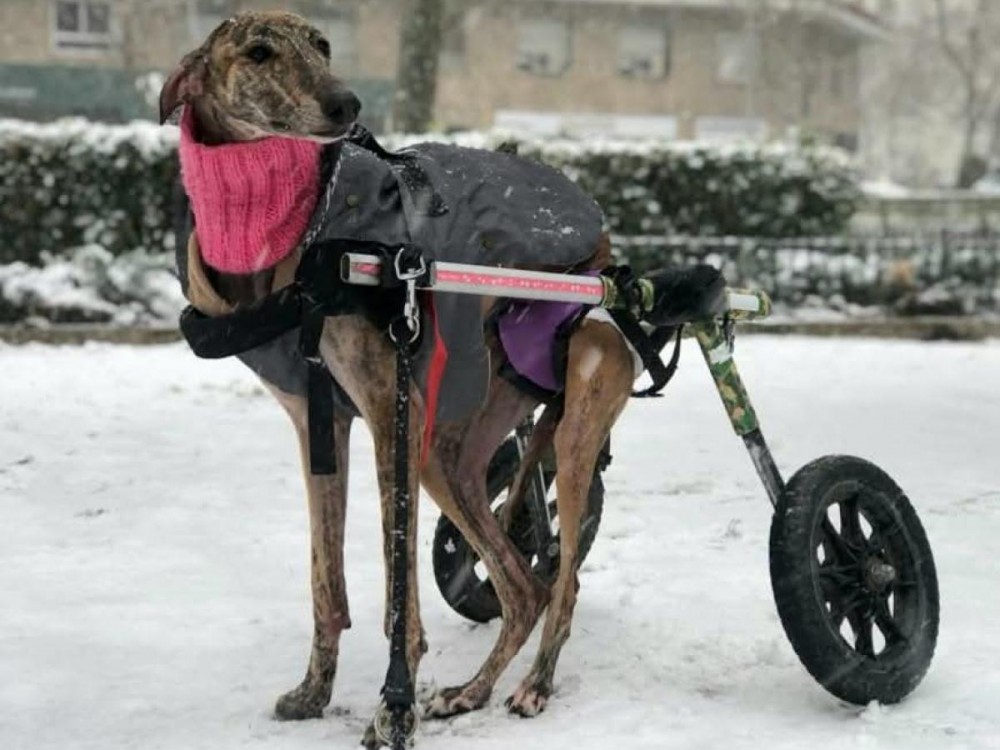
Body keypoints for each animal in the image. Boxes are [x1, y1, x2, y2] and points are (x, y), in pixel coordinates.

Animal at [161, 10, 642, 746]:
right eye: (260, 52)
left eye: (323, 44)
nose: (347, 105)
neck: (288, 230)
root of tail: (594, 227)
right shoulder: (318, 420)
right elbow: (325, 581)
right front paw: (315, 691)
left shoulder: (391, 413)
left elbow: (398, 593)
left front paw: (393, 710)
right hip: (449, 451)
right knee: (521, 585)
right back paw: (471, 691)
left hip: (570, 412)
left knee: (561, 579)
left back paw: (534, 685)